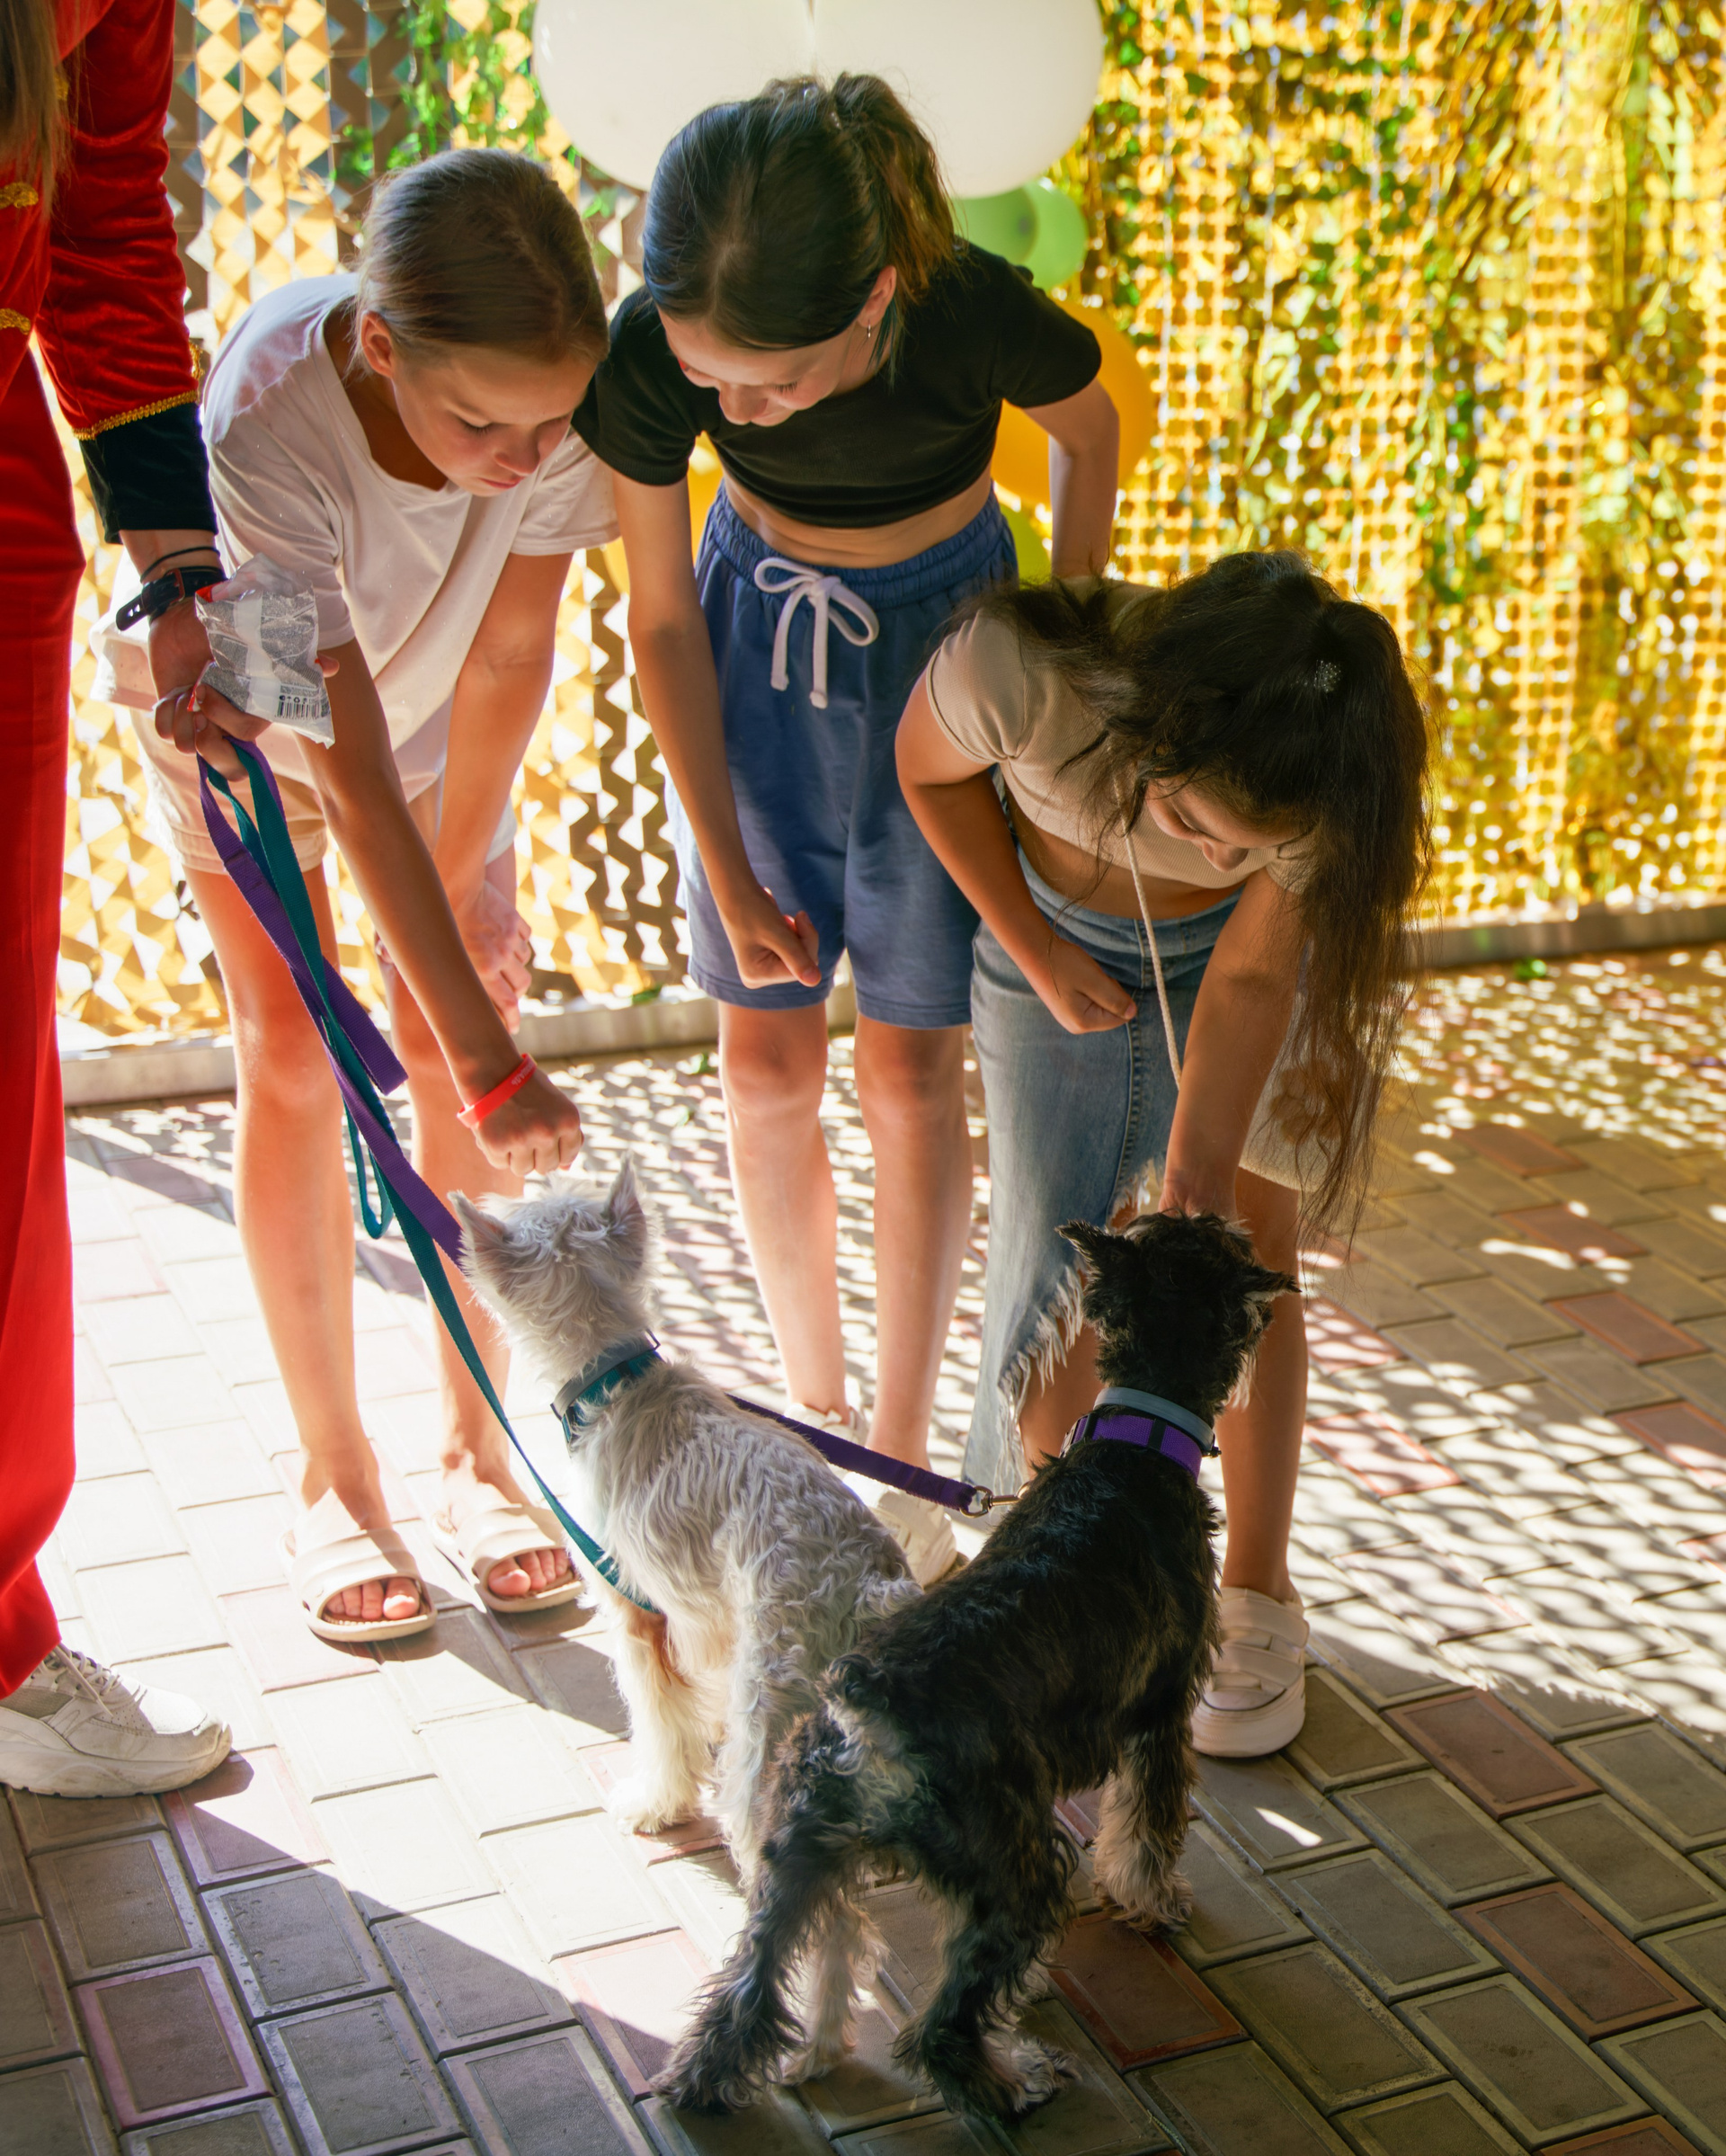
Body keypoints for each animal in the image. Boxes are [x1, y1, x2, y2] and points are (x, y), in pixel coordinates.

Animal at [453, 1161, 921, 1878]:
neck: (616, 1379)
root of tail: (871, 1586)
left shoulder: (639, 1615)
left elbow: (660, 1724)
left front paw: (655, 1803)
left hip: (772, 1714)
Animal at [663, 1209, 1295, 2121]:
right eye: (1225, 1245)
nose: (1238, 1225)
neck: (1133, 1446)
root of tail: (867, 1711)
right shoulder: (1162, 1709)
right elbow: (1147, 1828)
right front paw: (1154, 1903)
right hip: (1016, 1866)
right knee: (940, 2030)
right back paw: (1013, 2080)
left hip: (796, 1854)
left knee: (746, 1988)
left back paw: (701, 2083)